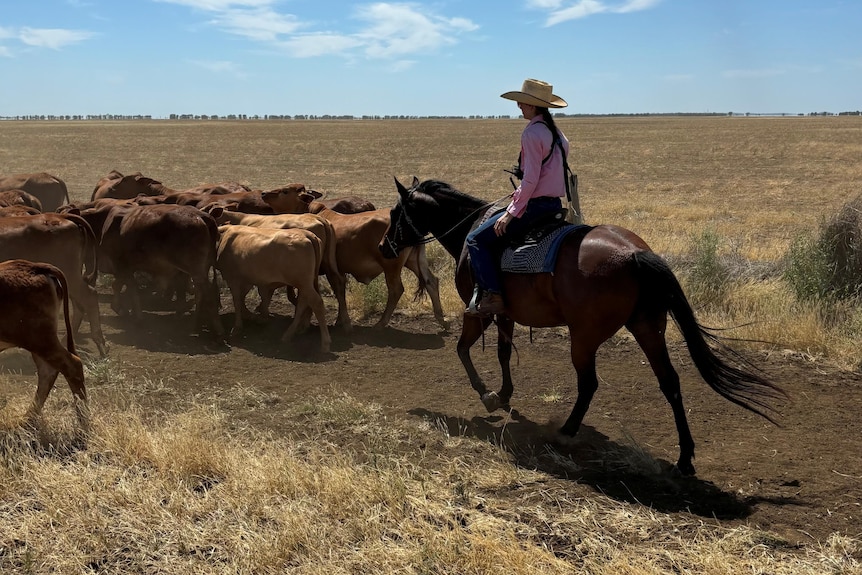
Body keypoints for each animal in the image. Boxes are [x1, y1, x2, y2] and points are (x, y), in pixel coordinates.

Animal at [0, 213, 108, 356]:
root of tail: (61, 216)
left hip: (69, 273)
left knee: (89, 297)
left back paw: (99, 343)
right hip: (70, 277)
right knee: (79, 305)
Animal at [0, 259, 88, 427]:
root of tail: (34, 266)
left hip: (40, 340)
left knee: (72, 365)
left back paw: (84, 423)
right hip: (39, 343)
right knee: (48, 372)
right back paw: (28, 418)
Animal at [99, 204, 224, 340]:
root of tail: (202, 216)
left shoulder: (121, 265)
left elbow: (128, 288)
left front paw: (133, 316)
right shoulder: (127, 267)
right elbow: (119, 285)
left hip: (195, 270)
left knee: (207, 293)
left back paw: (217, 329)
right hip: (202, 268)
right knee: (200, 294)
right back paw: (194, 324)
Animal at [261, 186, 447, 331]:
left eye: (285, 191)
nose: (263, 193)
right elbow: (339, 292)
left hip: (391, 266)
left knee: (396, 290)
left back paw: (380, 324)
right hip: (415, 261)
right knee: (431, 281)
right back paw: (441, 320)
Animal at [379, 177, 786, 476]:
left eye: (397, 212)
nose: (384, 247)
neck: (472, 233)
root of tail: (635, 253)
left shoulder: (479, 311)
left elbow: (463, 349)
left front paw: (488, 395)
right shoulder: (505, 315)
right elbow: (503, 352)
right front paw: (505, 394)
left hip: (585, 337)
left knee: (589, 384)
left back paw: (566, 431)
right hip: (647, 328)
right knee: (669, 381)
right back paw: (685, 458)